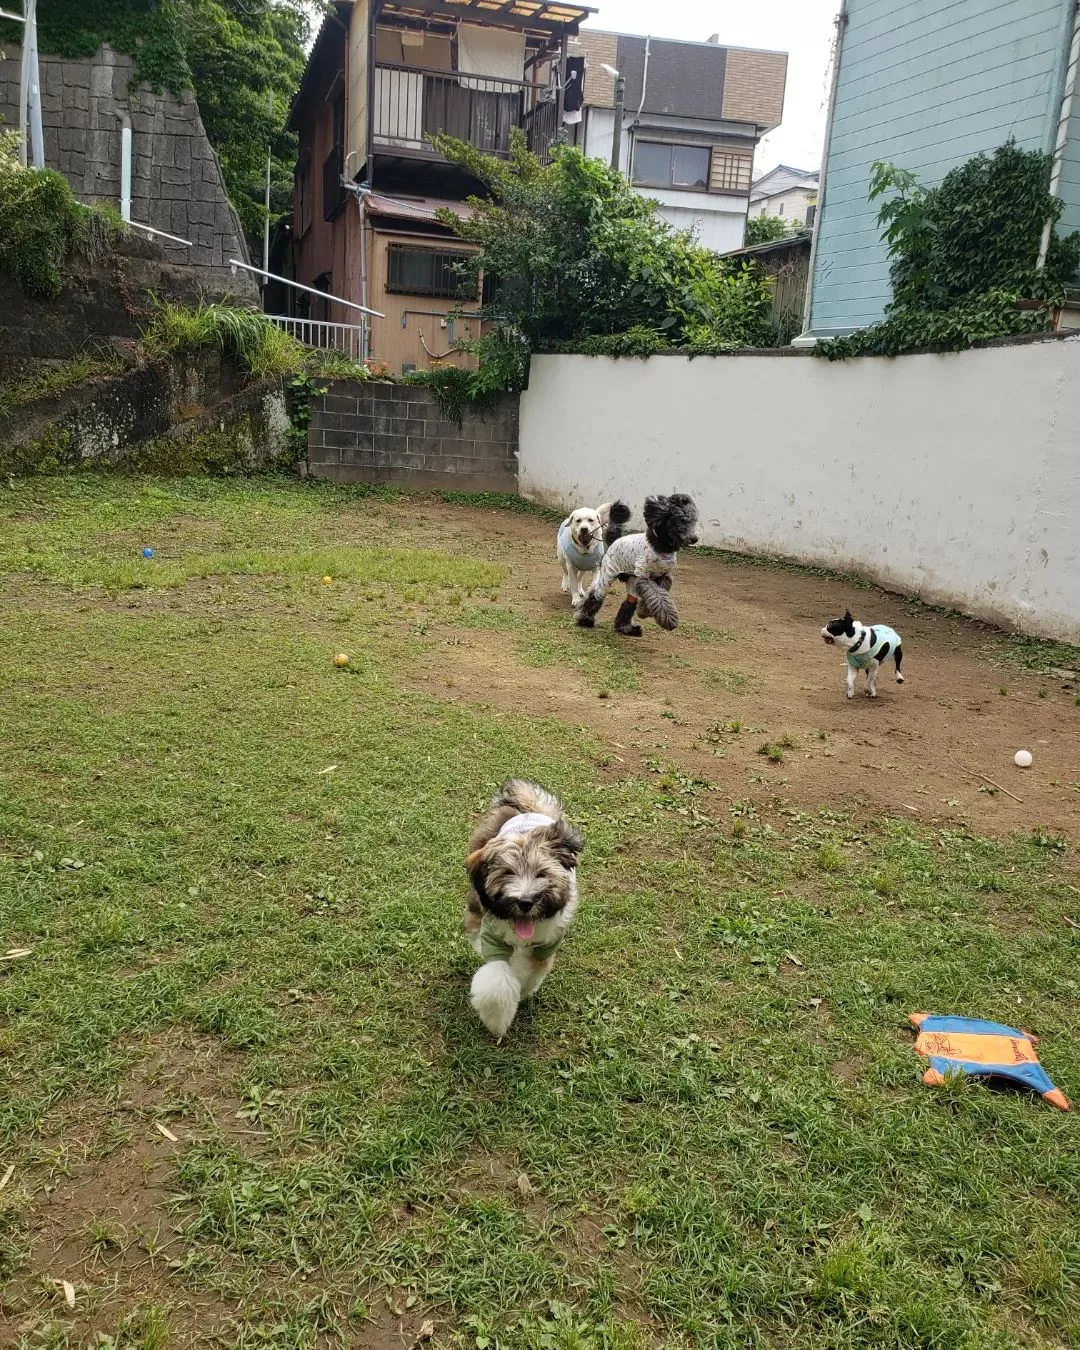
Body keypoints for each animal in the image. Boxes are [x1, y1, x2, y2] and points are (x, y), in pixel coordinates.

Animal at [464, 777, 583, 1036]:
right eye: (507, 873)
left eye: (541, 874)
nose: (525, 901)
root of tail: (530, 807)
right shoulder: (493, 938)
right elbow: (497, 981)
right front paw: (497, 1023)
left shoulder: (547, 943)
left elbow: (530, 968)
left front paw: (523, 986)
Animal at [572, 494, 702, 634]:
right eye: (681, 520)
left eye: (693, 520)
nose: (694, 538)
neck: (661, 546)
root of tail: (616, 540)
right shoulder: (643, 576)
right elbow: (658, 596)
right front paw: (668, 620)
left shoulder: (663, 576)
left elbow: (660, 596)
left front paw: (645, 611)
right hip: (608, 574)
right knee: (595, 595)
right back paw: (584, 619)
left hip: (632, 581)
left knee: (629, 602)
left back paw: (625, 628)